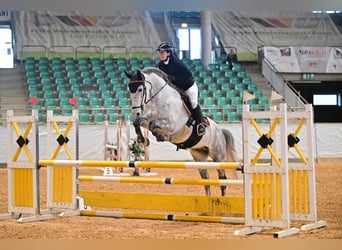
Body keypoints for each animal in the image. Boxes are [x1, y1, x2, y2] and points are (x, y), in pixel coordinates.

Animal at [124, 67, 239, 196]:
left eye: (140, 89)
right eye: (130, 89)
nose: (136, 112)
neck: (159, 101)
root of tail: (220, 131)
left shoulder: (171, 124)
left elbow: (154, 126)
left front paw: (161, 136)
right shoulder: (147, 120)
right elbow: (138, 122)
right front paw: (142, 140)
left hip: (218, 156)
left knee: (222, 179)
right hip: (199, 156)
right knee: (206, 178)